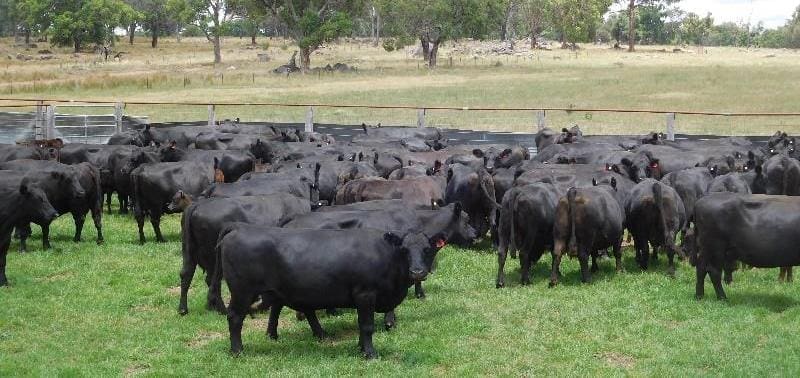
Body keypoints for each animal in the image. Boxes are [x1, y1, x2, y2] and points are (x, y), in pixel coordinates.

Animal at [177, 193, 310, 314]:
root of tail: (198, 205)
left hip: (189, 252)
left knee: (186, 275)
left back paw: (185, 309)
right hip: (215, 260)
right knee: (213, 281)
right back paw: (221, 309)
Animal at [219, 226, 444, 358]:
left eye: (427, 249)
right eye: (404, 250)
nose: (417, 271)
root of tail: (235, 231)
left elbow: (361, 325)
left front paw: (361, 348)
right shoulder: (365, 294)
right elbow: (367, 325)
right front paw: (370, 353)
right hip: (242, 292)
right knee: (235, 318)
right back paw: (237, 351)